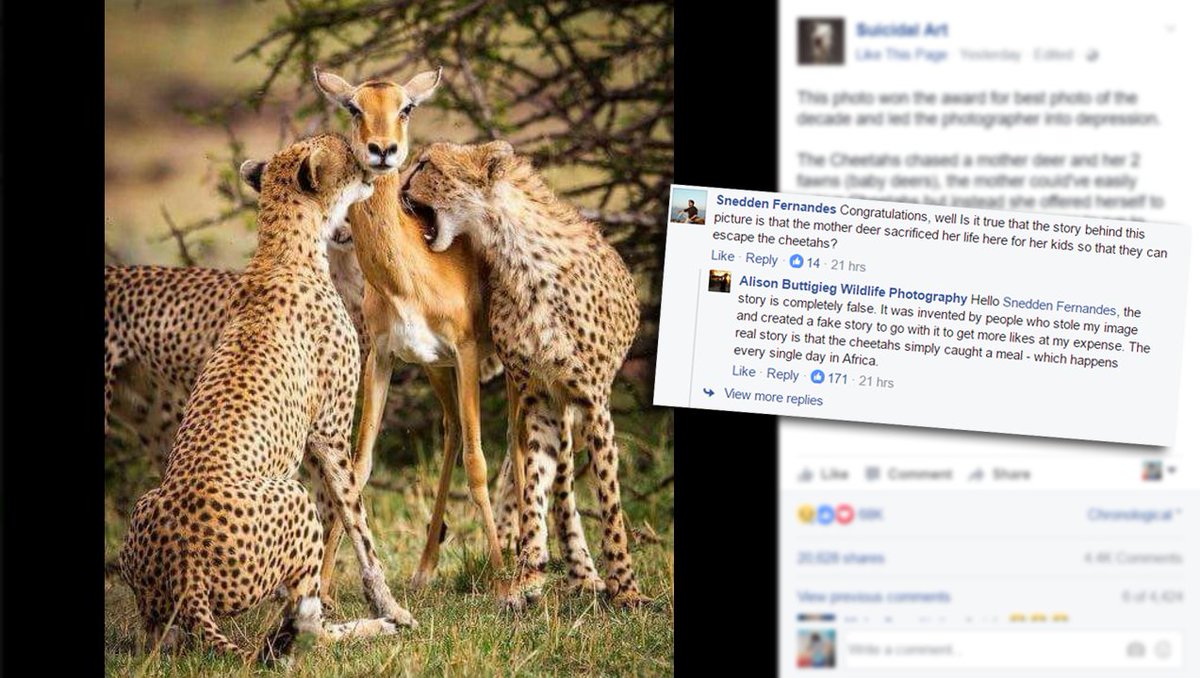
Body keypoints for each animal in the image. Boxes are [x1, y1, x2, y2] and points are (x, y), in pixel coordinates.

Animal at [311, 66, 507, 591]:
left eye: (407, 107)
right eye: (353, 107)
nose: (383, 150)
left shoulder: (465, 352)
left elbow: (478, 463)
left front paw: (507, 585)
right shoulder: (383, 357)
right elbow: (358, 468)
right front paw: (325, 587)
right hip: (434, 368)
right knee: (452, 429)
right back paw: (424, 568)